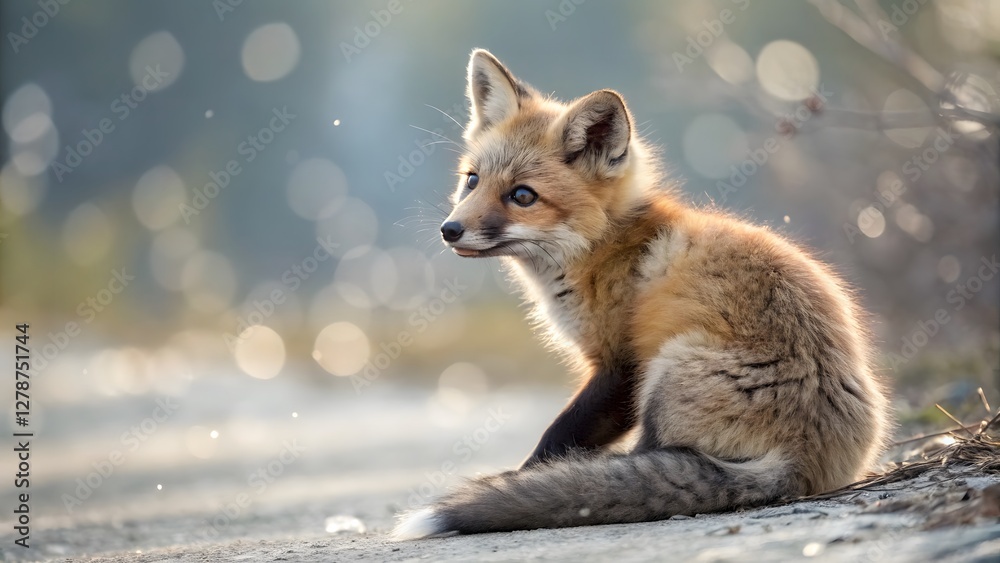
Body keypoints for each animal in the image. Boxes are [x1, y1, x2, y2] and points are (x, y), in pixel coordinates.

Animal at [393, 49, 891, 539]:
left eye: (522, 195)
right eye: (472, 180)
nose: (450, 230)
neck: (603, 245)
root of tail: (804, 460)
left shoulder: (620, 364)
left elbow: (557, 436)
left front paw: (524, 478)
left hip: (668, 367)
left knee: (652, 459)